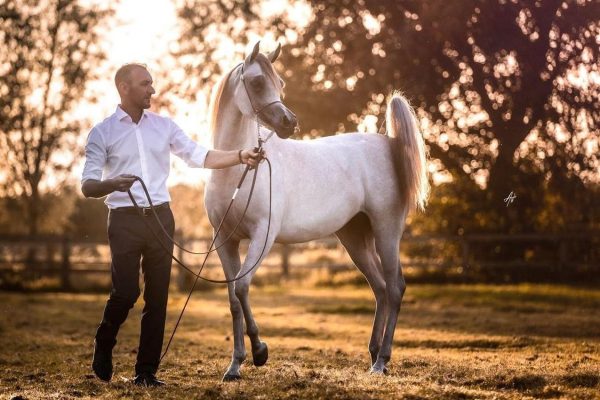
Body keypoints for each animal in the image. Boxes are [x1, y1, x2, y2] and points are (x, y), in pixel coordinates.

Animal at [204, 41, 428, 382]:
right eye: (257, 82)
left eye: (281, 83)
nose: (289, 122)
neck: (238, 169)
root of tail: (389, 144)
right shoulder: (224, 241)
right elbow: (233, 299)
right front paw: (235, 366)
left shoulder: (262, 236)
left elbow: (242, 287)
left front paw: (260, 351)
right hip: (354, 237)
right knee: (379, 287)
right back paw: (373, 354)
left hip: (387, 231)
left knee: (395, 287)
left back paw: (382, 361)